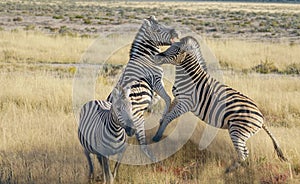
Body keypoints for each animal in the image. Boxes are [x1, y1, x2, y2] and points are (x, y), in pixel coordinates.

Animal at [107, 15, 179, 161]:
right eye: (158, 29)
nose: (176, 32)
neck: (145, 56)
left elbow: (162, 98)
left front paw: (154, 105)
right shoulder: (156, 80)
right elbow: (168, 98)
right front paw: (163, 116)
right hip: (137, 120)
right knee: (141, 142)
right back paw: (152, 159)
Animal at [152, 36, 288, 172]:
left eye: (177, 50)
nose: (156, 56)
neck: (189, 78)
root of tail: (261, 117)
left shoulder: (186, 103)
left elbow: (169, 117)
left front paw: (156, 137)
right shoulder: (178, 99)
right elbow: (166, 114)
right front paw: (159, 129)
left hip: (237, 131)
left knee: (244, 153)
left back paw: (229, 171)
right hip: (240, 132)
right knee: (244, 153)